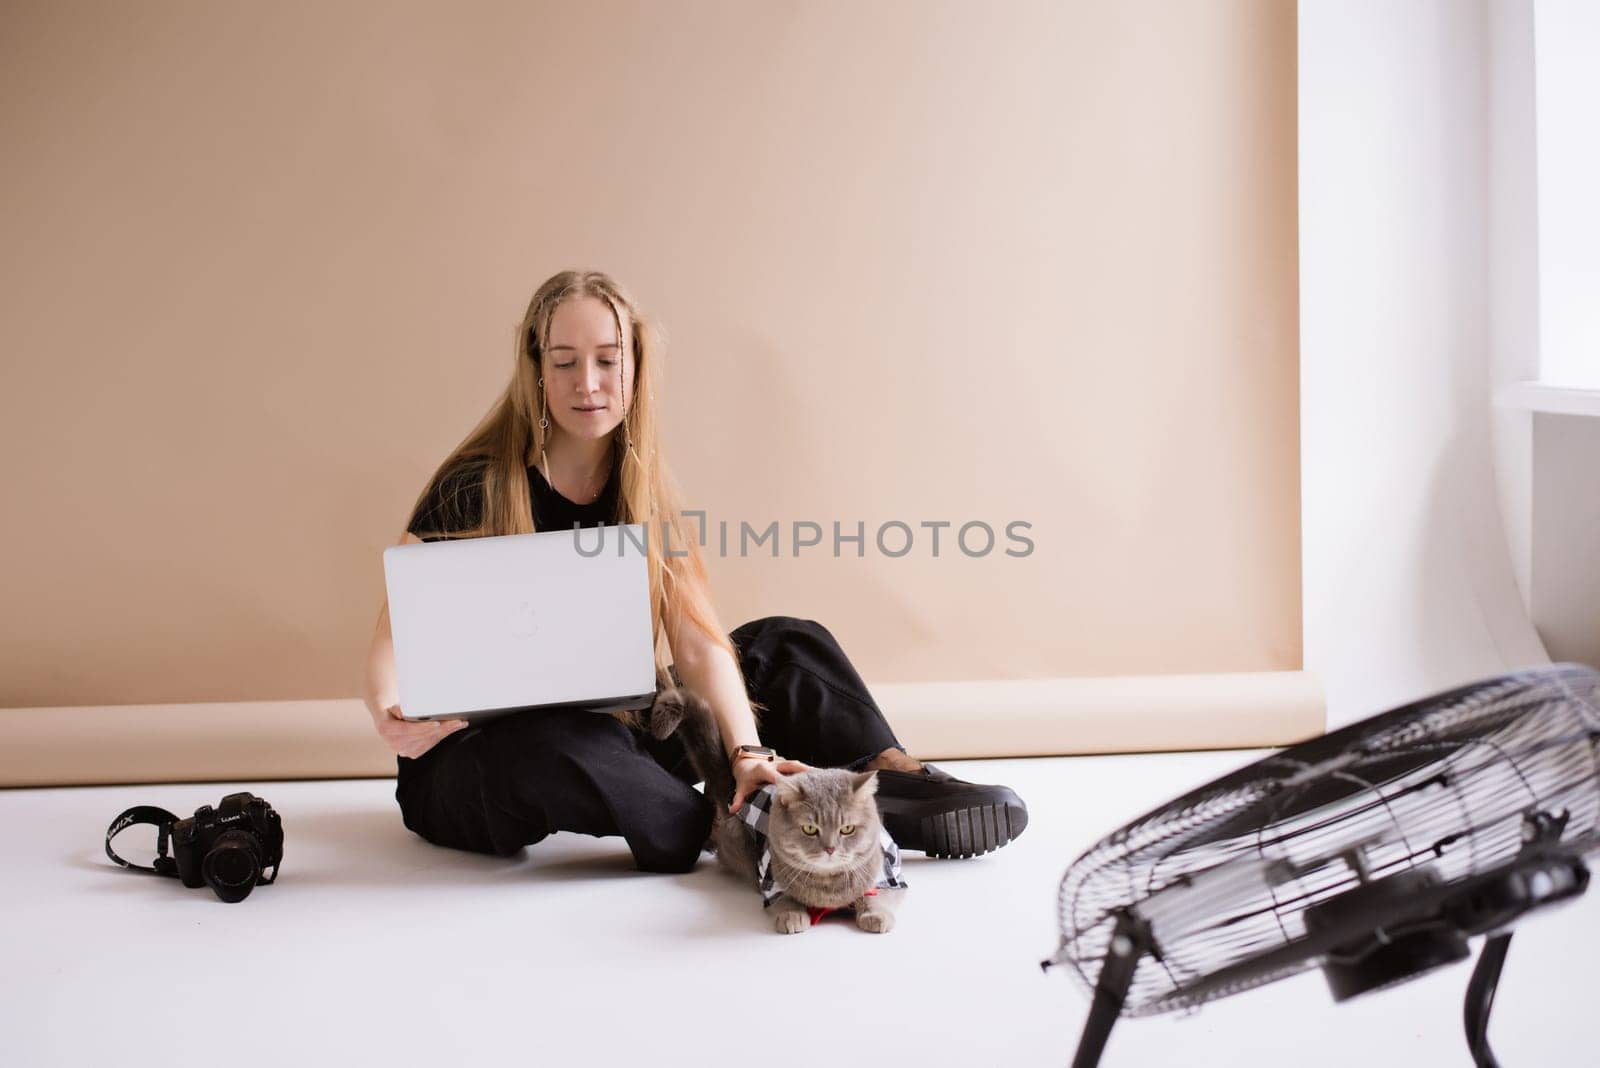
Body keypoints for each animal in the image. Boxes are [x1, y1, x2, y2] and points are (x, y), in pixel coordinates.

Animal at [646, 687, 902, 927]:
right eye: (810, 829)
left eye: (847, 829)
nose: (830, 848)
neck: (828, 889)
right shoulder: (771, 881)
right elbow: (784, 899)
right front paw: (792, 916)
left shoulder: (890, 875)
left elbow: (878, 895)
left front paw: (875, 915)